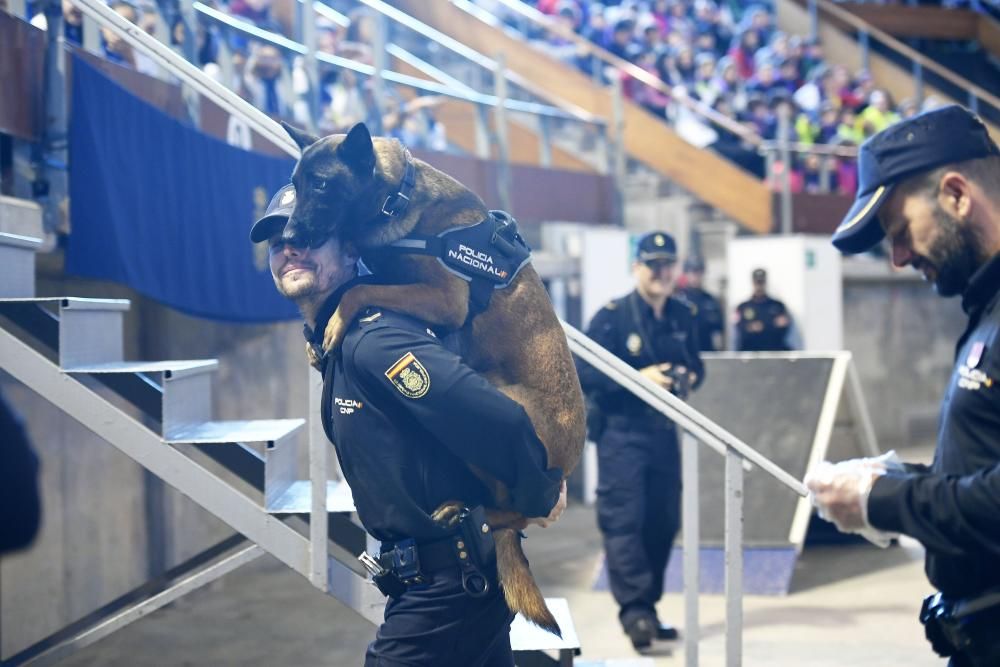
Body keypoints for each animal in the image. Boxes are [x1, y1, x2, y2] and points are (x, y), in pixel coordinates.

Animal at [282, 121, 584, 636]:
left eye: (320, 184)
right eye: (297, 185)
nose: (289, 233)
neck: (396, 198)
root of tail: (569, 462)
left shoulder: (444, 299)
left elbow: (360, 289)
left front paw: (336, 322)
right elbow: (365, 282)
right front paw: (315, 339)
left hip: (499, 405)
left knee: (514, 513)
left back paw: (469, 513)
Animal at [580, 231, 704, 652]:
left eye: (666, 262)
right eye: (652, 261)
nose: (662, 274)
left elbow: (698, 365)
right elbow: (587, 370)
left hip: (664, 484)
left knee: (659, 523)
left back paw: (655, 620)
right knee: (624, 518)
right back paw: (639, 619)